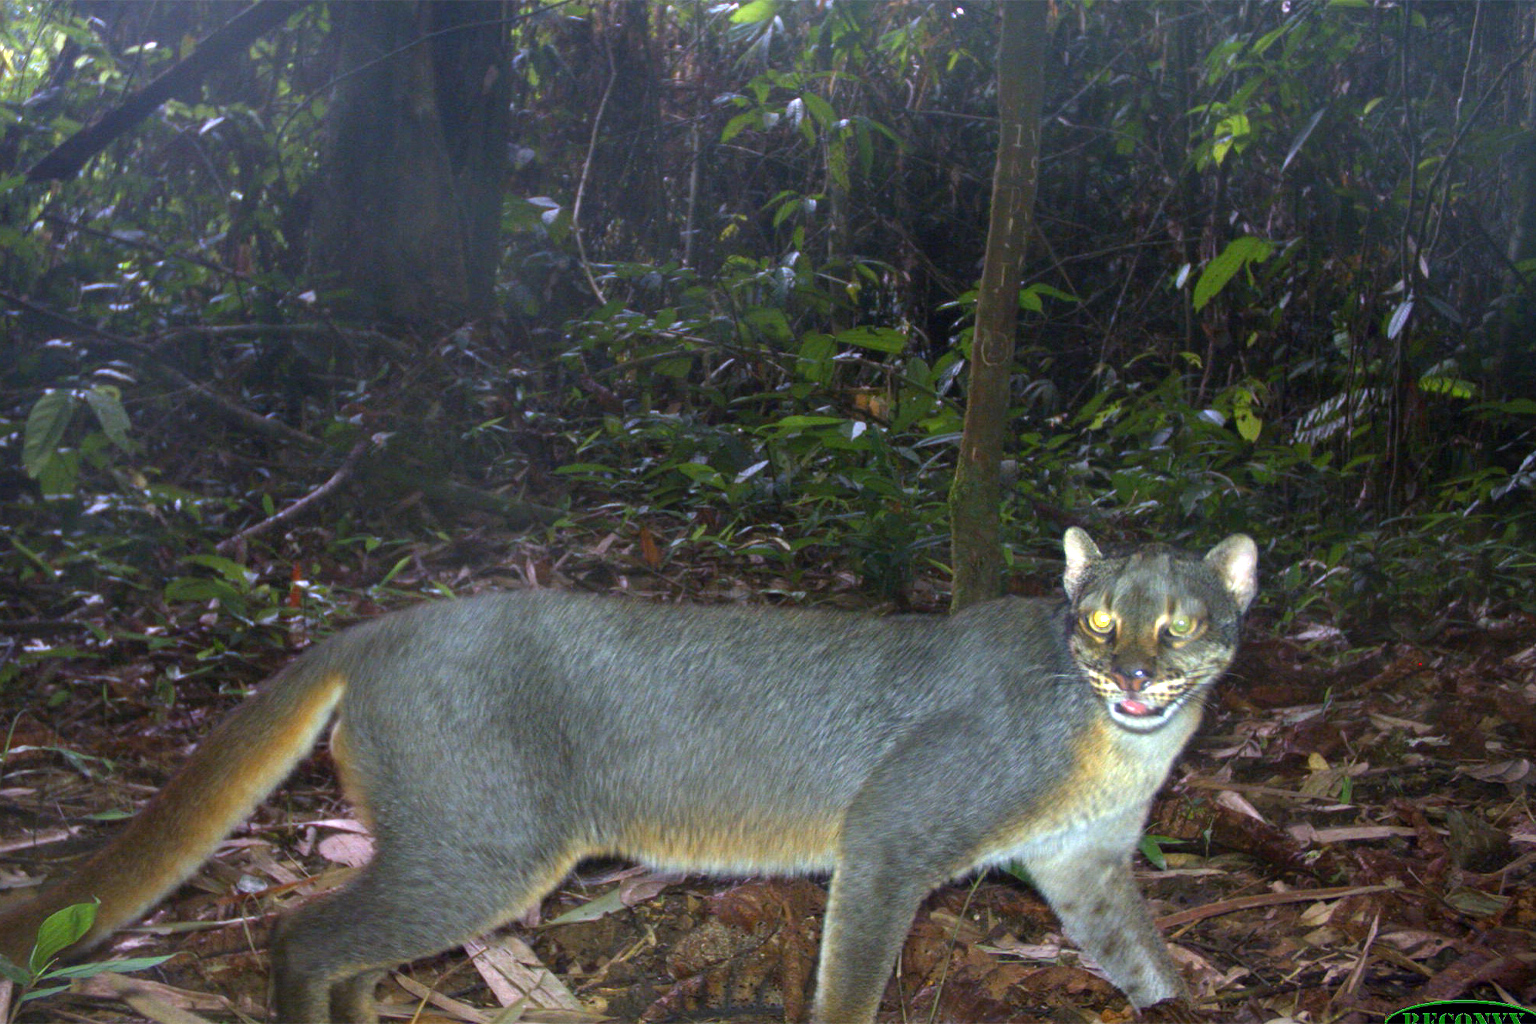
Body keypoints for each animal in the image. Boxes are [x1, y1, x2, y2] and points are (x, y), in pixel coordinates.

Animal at [0, 534, 1259, 1019]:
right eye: (1099, 626)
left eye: (1180, 626)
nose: (1135, 675)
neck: (1116, 748)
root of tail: (378, 627)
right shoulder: (892, 836)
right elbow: (852, 981)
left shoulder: (1084, 865)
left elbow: (1144, 959)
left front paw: (1180, 1002)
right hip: (483, 848)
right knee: (304, 936)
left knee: (350, 949)